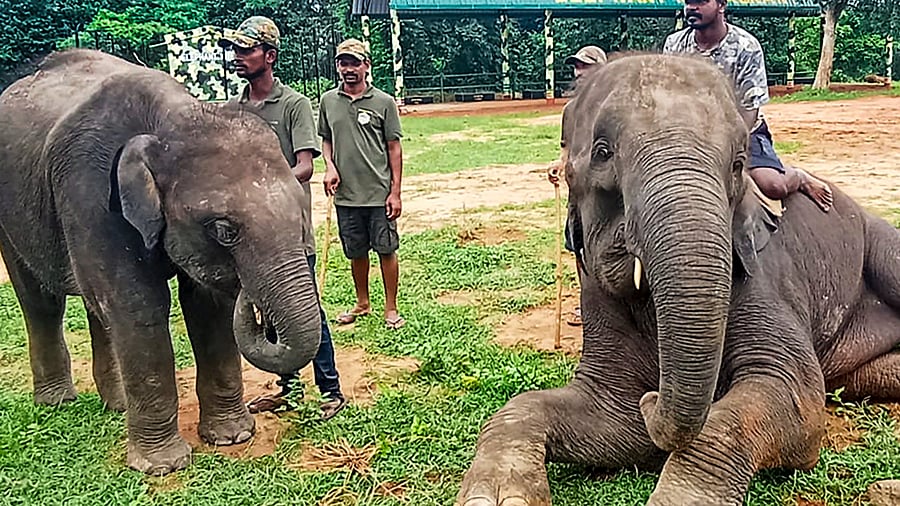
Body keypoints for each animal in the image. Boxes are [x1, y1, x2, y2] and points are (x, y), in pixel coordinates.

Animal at [0, 49, 321, 475]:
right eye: (224, 229)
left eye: (300, 212)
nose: (251, 301)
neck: (171, 118)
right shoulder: (91, 191)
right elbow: (137, 306)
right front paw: (162, 466)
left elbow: (208, 308)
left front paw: (232, 437)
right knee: (41, 301)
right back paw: (57, 402)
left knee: (95, 305)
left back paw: (118, 406)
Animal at [456, 52, 900, 505]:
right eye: (602, 152)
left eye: (738, 163)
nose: (653, 396)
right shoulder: (599, 301)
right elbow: (606, 415)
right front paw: (496, 494)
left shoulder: (762, 276)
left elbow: (795, 398)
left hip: (879, 242)